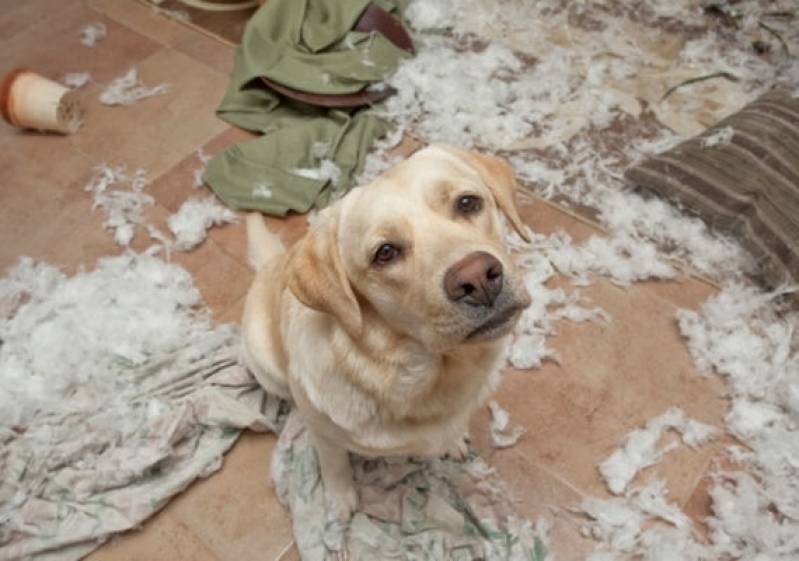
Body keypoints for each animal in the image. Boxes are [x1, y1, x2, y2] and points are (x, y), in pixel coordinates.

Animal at [244, 144, 532, 516]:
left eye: (468, 203)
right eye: (385, 253)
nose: (478, 279)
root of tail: (272, 263)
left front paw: (454, 438)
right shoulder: (325, 435)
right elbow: (334, 464)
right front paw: (339, 500)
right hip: (266, 363)